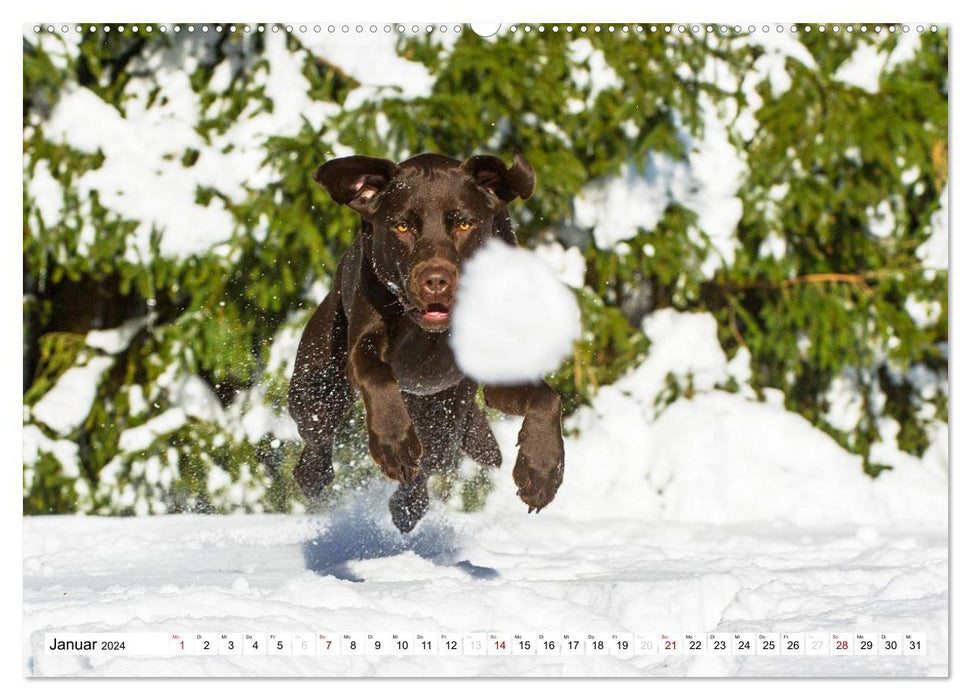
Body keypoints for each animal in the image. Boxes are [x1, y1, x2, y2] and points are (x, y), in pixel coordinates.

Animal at [284, 153, 564, 532]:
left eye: (464, 224)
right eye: (402, 227)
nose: (435, 281)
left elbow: (548, 399)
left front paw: (542, 471)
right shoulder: (363, 341)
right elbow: (376, 373)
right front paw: (393, 442)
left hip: (444, 417)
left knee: (428, 462)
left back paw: (407, 507)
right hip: (316, 389)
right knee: (317, 436)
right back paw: (315, 476)